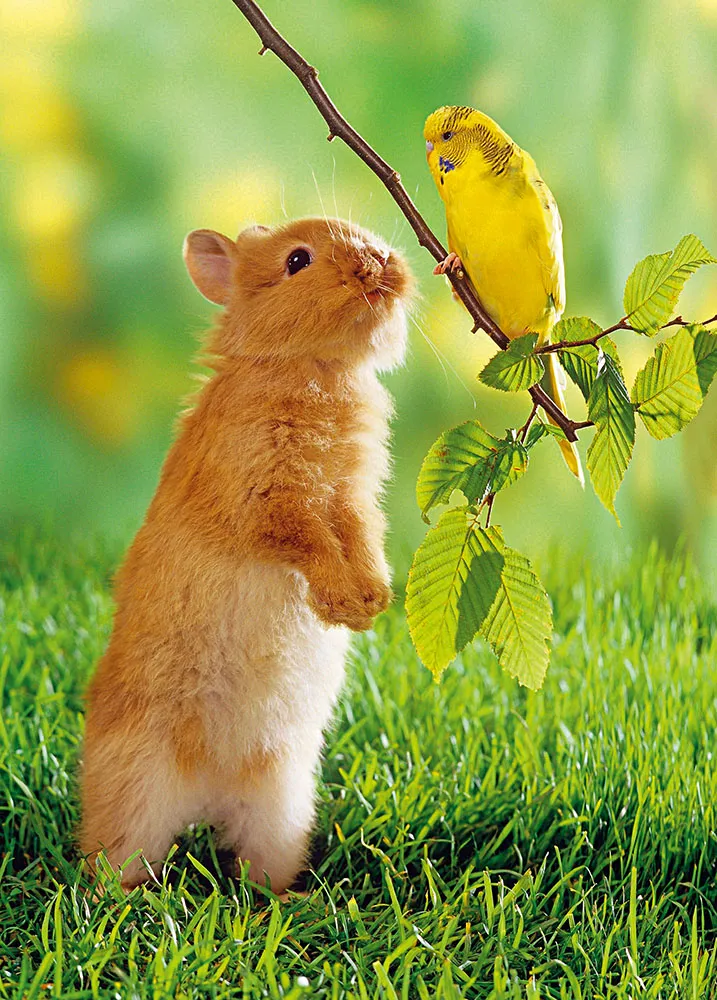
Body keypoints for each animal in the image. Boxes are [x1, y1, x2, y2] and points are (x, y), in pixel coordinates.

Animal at [80, 216, 412, 894]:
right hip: (136, 789)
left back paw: (277, 897)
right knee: (123, 852)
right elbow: (306, 540)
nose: (379, 262)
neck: (311, 365)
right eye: (297, 261)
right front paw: (342, 604)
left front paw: (370, 602)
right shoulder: (267, 502)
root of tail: (207, 796)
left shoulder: (354, 497)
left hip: (281, 802)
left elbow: (360, 535)